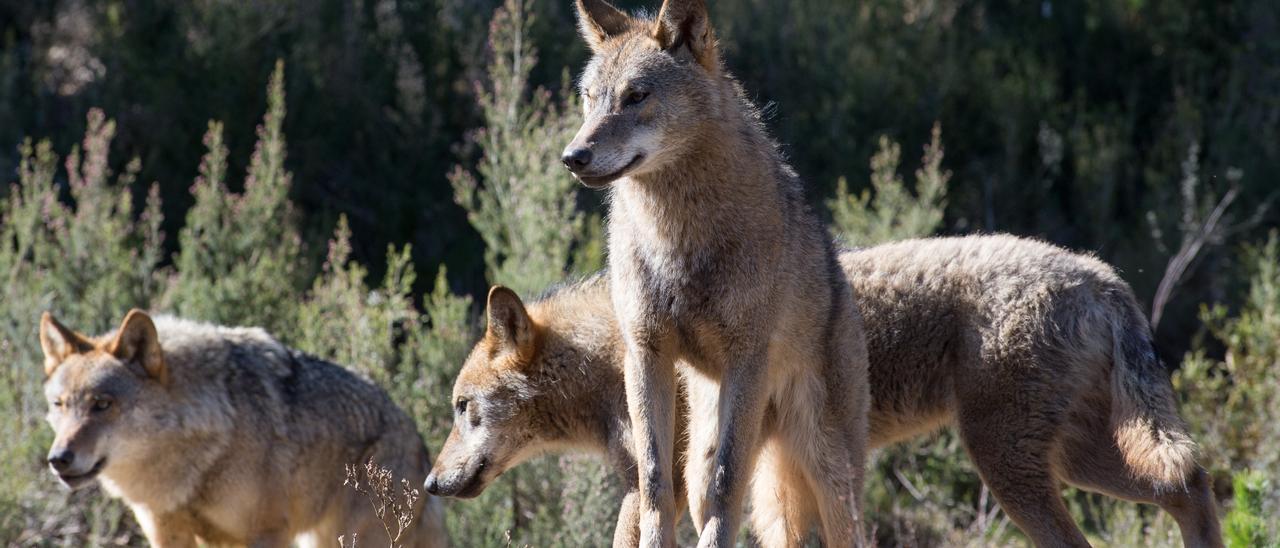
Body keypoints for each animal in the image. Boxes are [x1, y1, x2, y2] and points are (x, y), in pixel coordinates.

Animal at [427, 236, 1218, 548]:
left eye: (463, 411)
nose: (431, 484)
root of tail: (1099, 273)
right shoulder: (733, 480)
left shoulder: (665, 488)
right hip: (1075, 461)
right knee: (1192, 482)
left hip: (1012, 467)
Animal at [563, 2, 875, 545]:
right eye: (589, 98)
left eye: (636, 96)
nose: (572, 157)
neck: (677, 239)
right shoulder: (645, 353)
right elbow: (653, 481)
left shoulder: (747, 357)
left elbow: (729, 484)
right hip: (703, 449)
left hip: (829, 473)